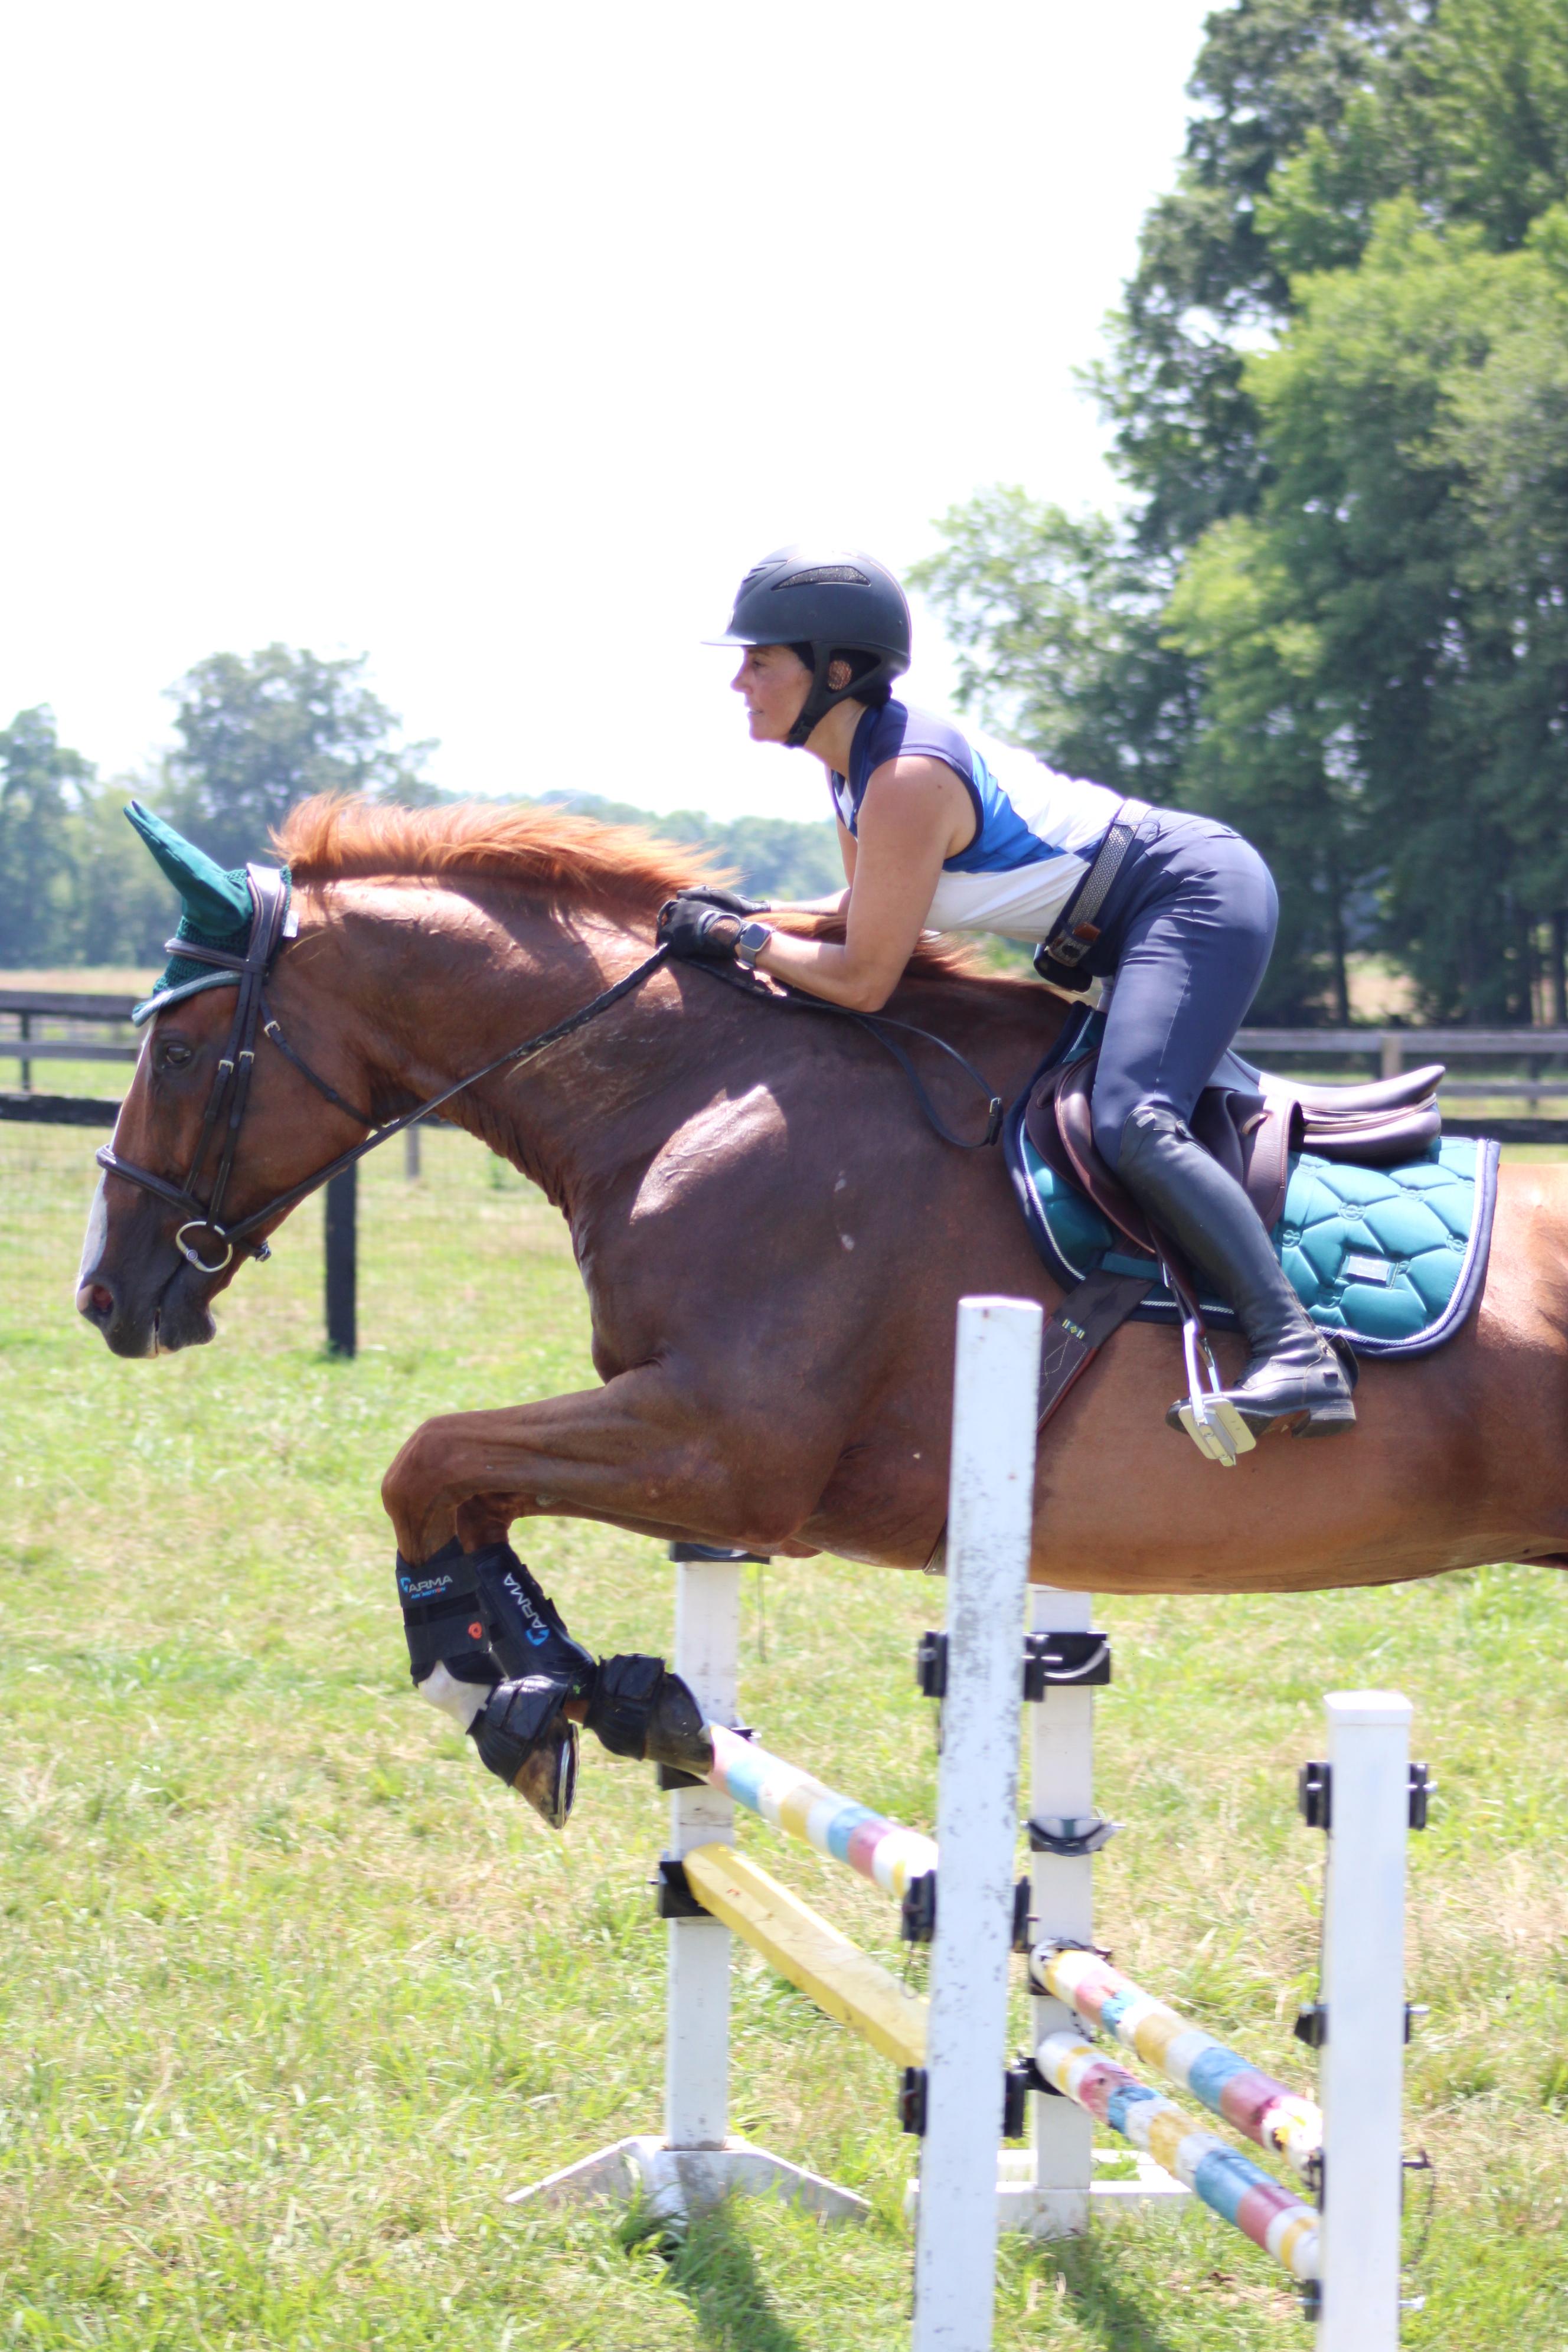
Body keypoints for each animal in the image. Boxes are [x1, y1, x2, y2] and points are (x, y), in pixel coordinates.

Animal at [78, 796, 1568, 1604]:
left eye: (179, 1050)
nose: (103, 1292)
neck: (695, 1088)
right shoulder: (686, 1437)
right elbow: (450, 1476)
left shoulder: (730, 1447)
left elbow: (429, 1456)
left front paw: (500, 1680)